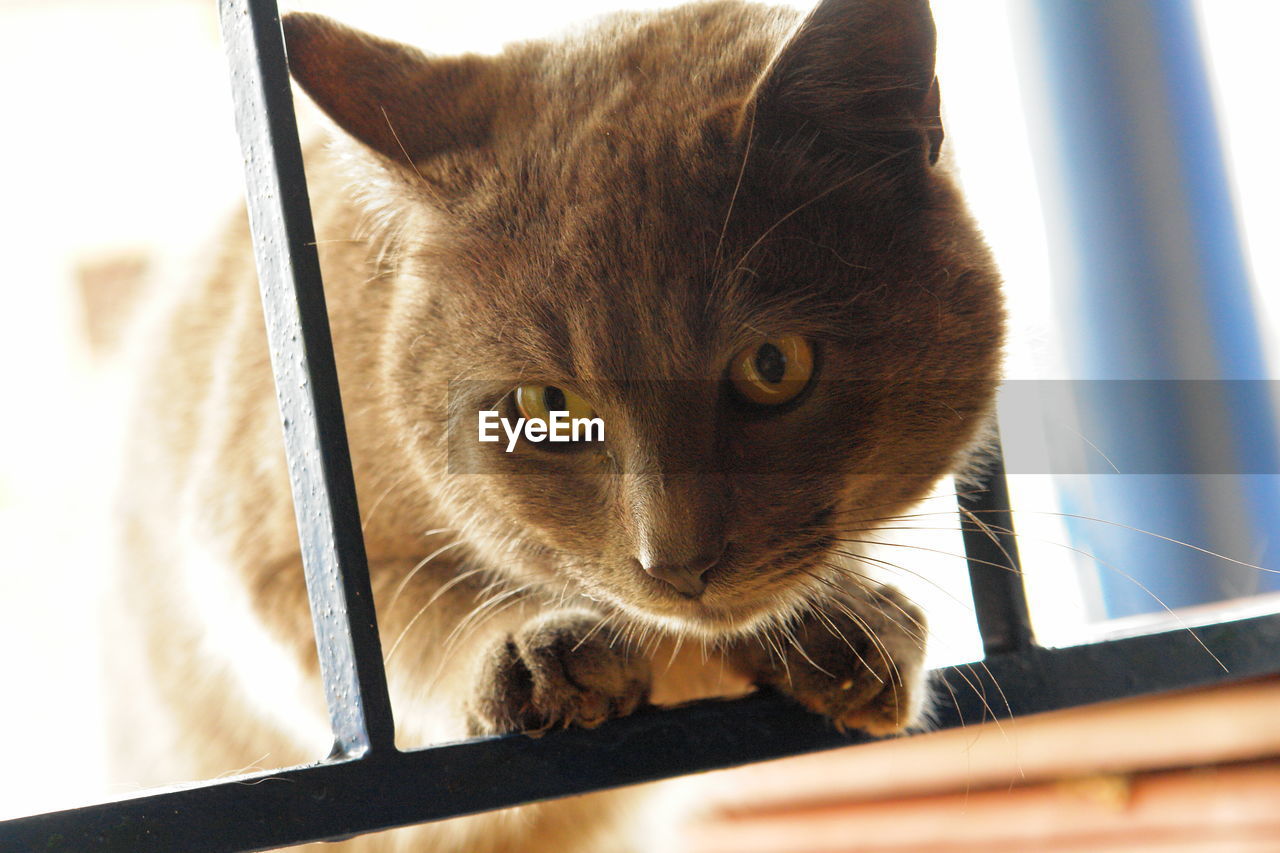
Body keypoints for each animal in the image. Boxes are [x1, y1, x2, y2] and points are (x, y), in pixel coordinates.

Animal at [110, 0, 1003, 845]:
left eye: (773, 364)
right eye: (545, 405)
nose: (678, 563)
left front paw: (852, 624)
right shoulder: (270, 556)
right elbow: (406, 626)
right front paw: (534, 654)